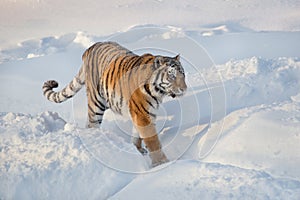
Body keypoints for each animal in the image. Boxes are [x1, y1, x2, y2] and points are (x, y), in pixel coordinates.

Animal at [42, 41, 188, 167]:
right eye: (171, 75)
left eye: (183, 75)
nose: (184, 89)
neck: (159, 92)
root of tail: (90, 48)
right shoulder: (142, 114)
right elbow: (153, 141)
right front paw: (162, 163)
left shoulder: (143, 113)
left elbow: (138, 135)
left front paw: (138, 149)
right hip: (97, 103)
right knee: (92, 124)